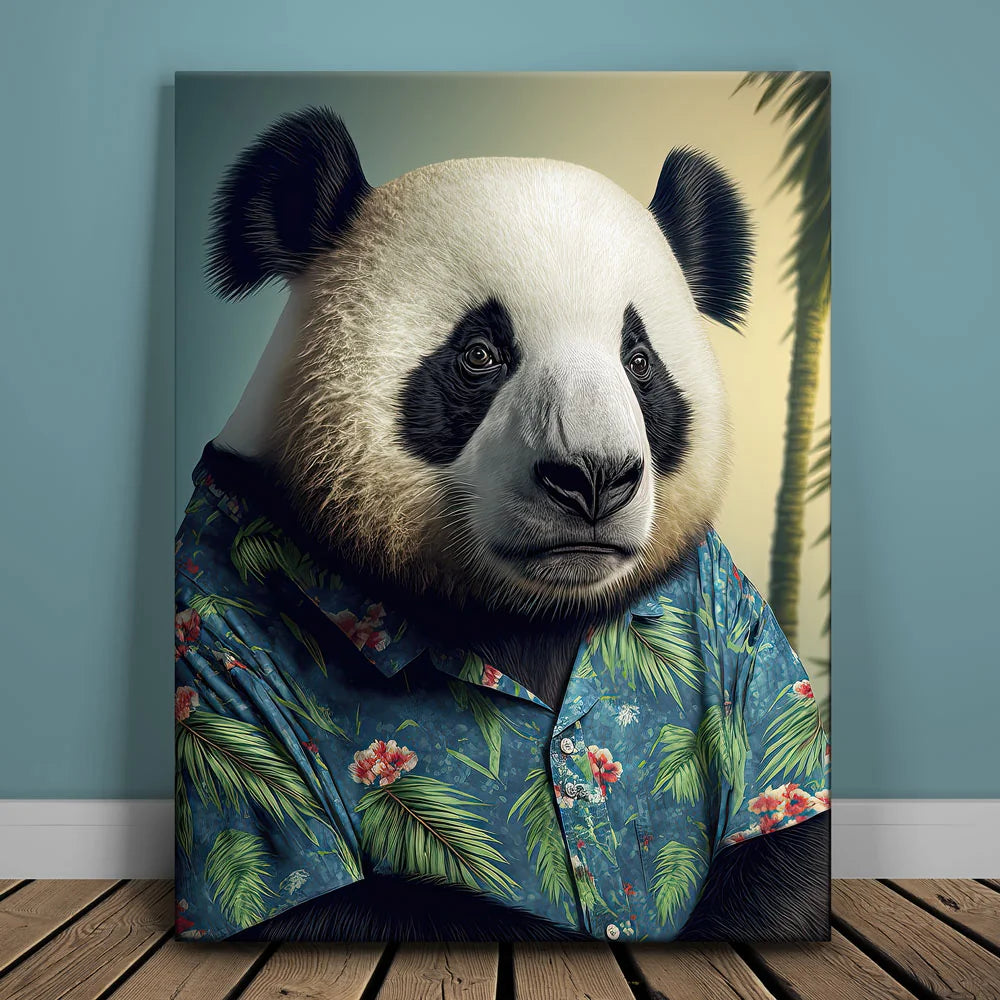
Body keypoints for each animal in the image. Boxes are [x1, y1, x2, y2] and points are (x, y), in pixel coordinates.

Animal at [174, 107, 830, 944]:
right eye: (481, 353)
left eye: (639, 360)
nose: (593, 476)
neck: (523, 607)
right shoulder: (214, 661)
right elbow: (319, 905)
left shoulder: (729, 609)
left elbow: (789, 843)